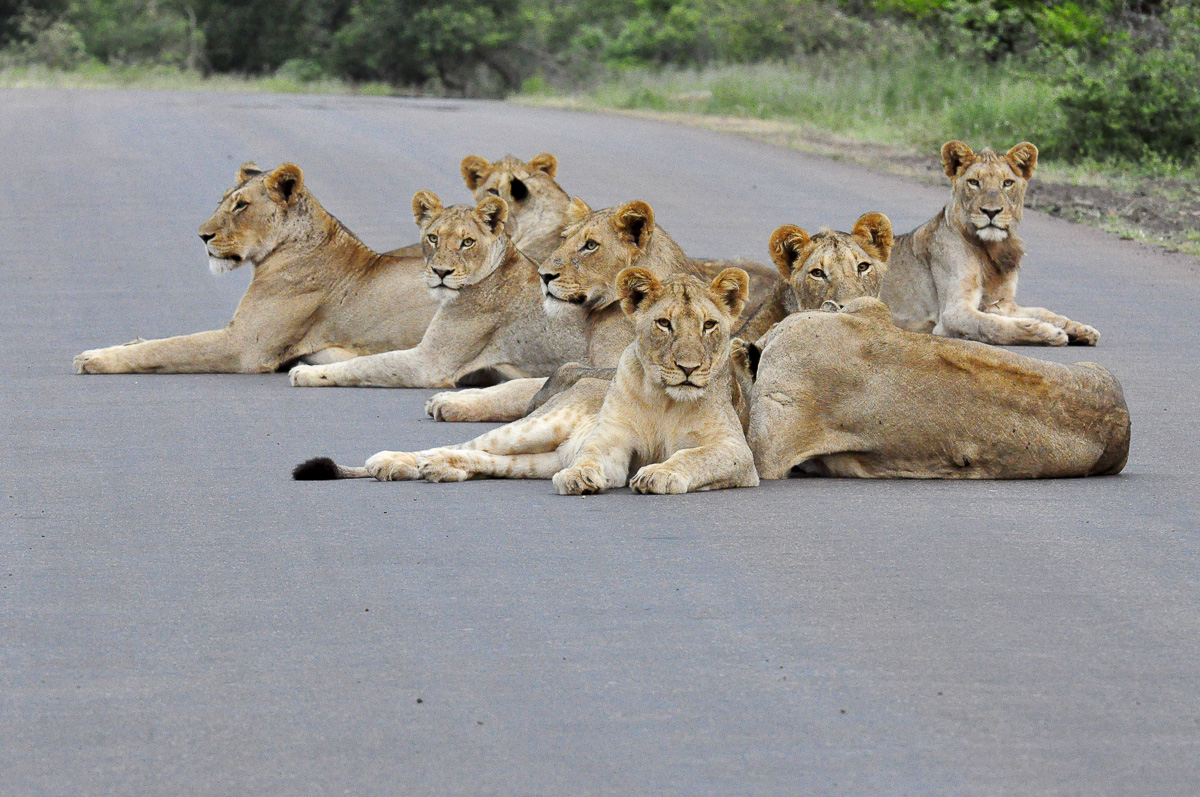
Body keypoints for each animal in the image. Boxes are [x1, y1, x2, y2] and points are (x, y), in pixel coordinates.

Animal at [73, 162, 438, 374]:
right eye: (222, 201)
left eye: (241, 206)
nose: (202, 235)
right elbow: (163, 339)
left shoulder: (244, 346)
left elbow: (169, 347)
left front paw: (94, 360)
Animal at [288, 191, 590, 388]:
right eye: (433, 238)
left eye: (467, 242)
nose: (441, 272)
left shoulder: (430, 364)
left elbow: (365, 364)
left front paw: (307, 373)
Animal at [294, 268, 759, 495]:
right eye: (664, 324)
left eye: (710, 326)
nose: (688, 368)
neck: (665, 398)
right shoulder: (609, 446)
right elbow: (593, 461)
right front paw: (580, 479)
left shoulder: (738, 454)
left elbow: (691, 457)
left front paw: (658, 475)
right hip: (536, 428)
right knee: (462, 445)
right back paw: (394, 462)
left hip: (540, 458)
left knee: (484, 460)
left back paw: (441, 470)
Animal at [420, 196, 779, 422]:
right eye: (564, 239)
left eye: (591, 245)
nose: (543, 275)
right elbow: (519, 385)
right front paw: (452, 402)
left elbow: (557, 376)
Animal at [879, 141, 1099, 346]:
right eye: (974, 182)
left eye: (1007, 183)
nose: (991, 212)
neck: (990, 248)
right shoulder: (952, 314)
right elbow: (993, 324)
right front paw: (1049, 332)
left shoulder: (1003, 303)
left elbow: (1044, 312)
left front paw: (1080, 329)